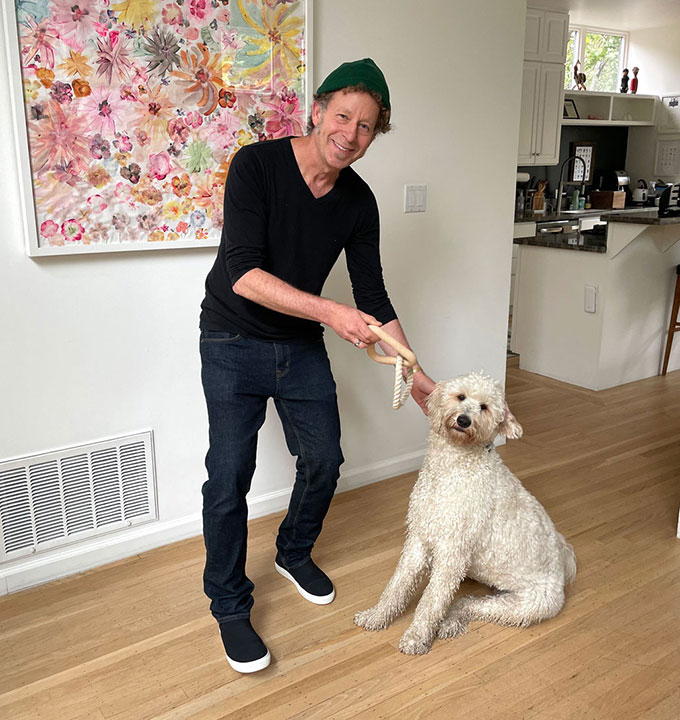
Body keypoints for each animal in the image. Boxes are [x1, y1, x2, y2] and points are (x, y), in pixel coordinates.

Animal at [354, 374, 576, 656]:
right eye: (461, 396)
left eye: (484, 407)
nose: (463, 420)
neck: (452, 466)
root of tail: (561, 573)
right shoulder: (418, 539)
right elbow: (397, 584)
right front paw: (377, 616)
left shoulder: (452, 553)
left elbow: (431, 601)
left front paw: (416, 637)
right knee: (467, 602)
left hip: (521, 606)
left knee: (466, 605)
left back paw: (448, 622)